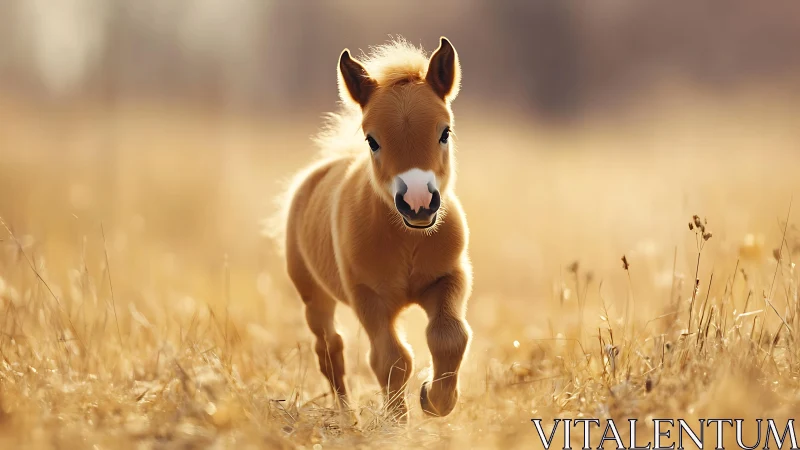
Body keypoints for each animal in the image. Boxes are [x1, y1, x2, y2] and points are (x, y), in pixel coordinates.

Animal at [272, 36, 472, 421]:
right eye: (372, 140)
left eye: (445, 132)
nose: (418, 202)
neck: (408, 240)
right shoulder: (368, 295)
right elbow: (390, 359)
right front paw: (397, 423)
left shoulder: (450, 277)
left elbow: (450, 336)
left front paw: (434, 400)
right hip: (313, 294)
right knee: (330, 348)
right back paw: (346, 415)